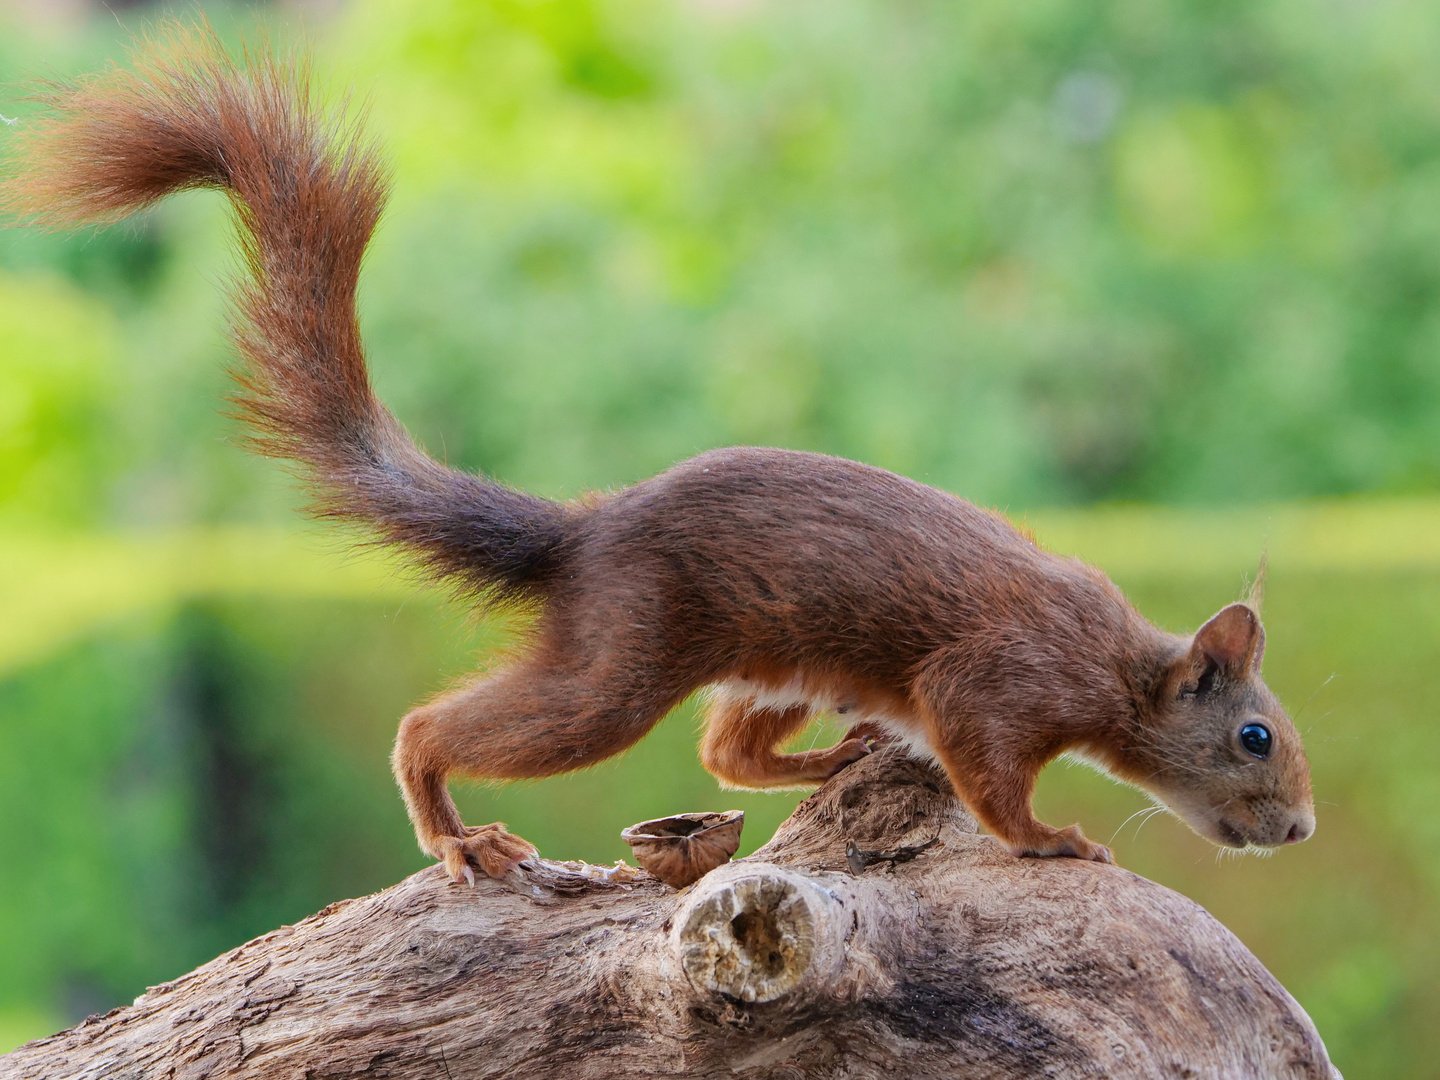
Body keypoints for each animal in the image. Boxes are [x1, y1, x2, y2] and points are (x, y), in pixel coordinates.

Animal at [8, 27, 1319, 887]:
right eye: (1254, 736)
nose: (1302, 829)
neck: (1112, 662)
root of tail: (587, 528)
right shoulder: (991, 684)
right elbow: (993, 781)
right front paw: (1050, 838)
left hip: (768, 661)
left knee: (727, 751)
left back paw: (837, 757)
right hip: (618, 665)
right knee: (446, 730)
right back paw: (459, 833)